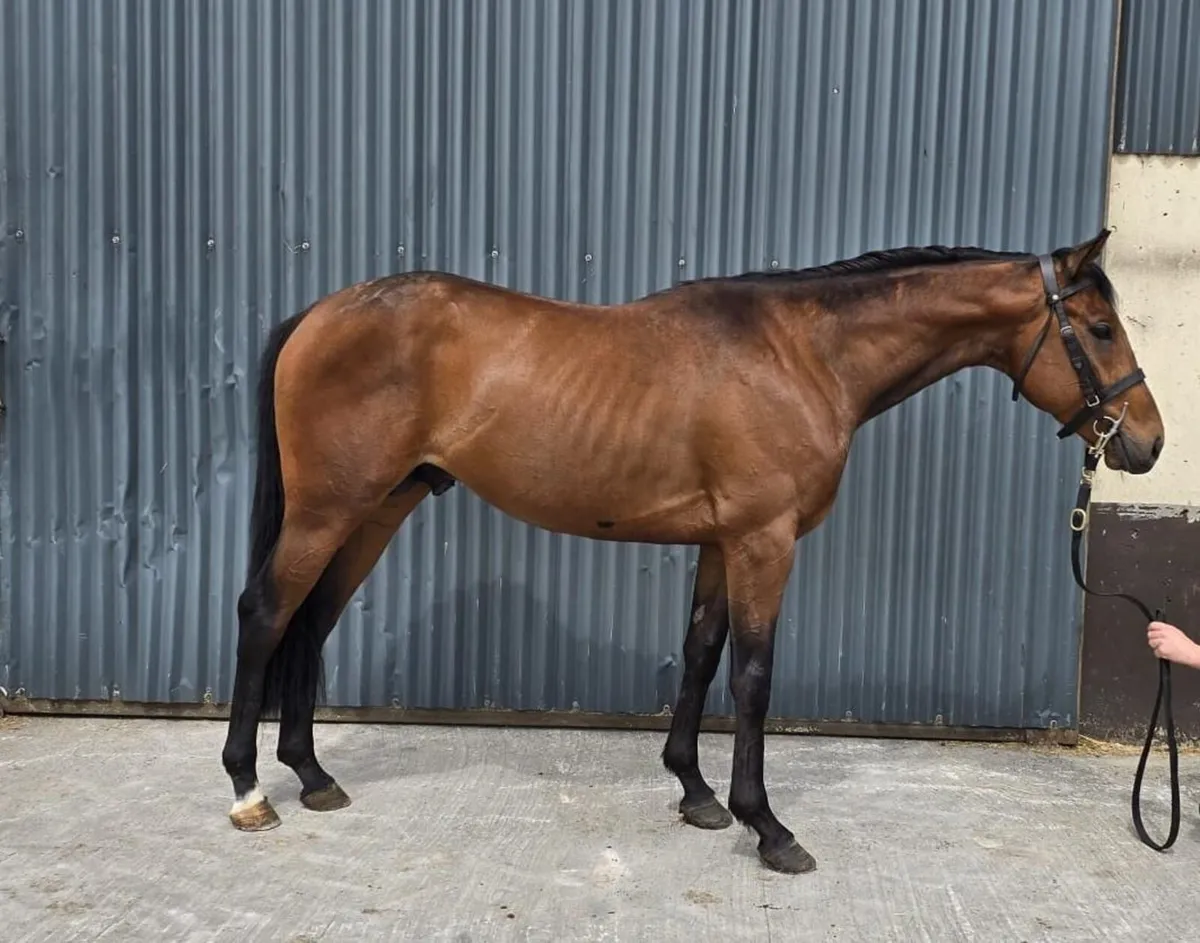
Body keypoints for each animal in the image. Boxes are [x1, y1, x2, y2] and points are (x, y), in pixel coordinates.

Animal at [219, 228, 1163, 875]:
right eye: (1099, 328)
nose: (1147, 443)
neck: (803, 356)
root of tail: (321, 313)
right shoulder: (763, 541)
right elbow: (752, 676)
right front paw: (768, 825)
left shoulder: (720, 540)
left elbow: (702, 653)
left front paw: (697, 793)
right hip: (330, 508)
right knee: (266, 613)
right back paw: (250, 789)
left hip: (378, 508)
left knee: (311, 622)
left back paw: (312, 774)